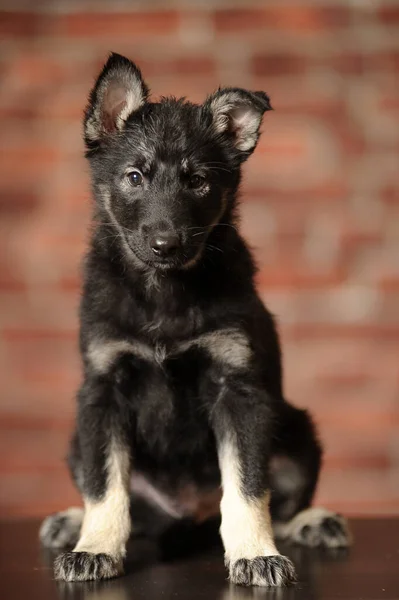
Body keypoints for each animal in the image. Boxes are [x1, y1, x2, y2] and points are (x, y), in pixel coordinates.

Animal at [38, 52, 350, 584]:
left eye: (199, 182)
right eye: (134, 176)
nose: (166, 244)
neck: (166, 291)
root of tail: (187, 515)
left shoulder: (238, 390)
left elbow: (248, 484)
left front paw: (253, 553)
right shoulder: (102, 390)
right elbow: (104, 484)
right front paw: (95, 547)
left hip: (299, 430)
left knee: (281, 501)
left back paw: (312, 521)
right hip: (77, 439)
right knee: (129, 506)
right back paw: (72, 522)